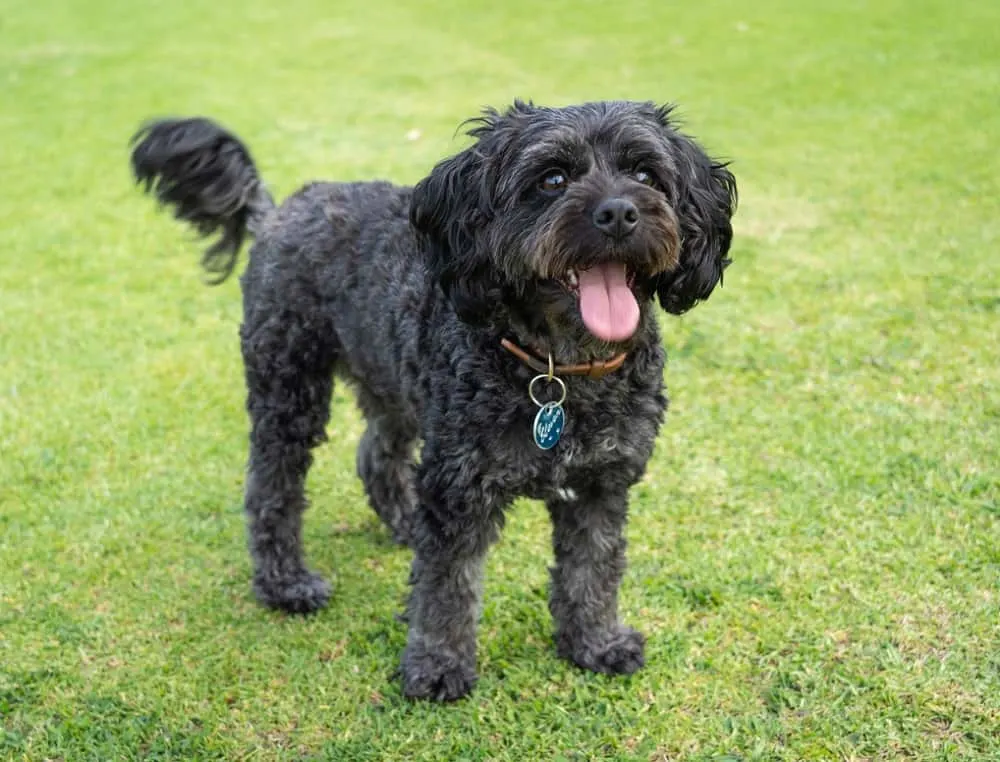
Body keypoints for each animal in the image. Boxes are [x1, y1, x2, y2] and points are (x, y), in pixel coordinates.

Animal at [129, 101, 736, 700]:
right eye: (552, 179)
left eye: (645, 174)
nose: (619, 213)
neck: (557, 369)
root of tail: (277, 210)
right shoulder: (458, 486)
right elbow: (448, 585)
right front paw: (438, 666)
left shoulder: (601, 483)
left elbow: (594, 569)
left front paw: (596, 642)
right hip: (289, 384)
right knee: (271, 487)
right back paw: (285, 584)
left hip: (392, 382)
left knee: (376, 454)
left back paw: (402, 524)